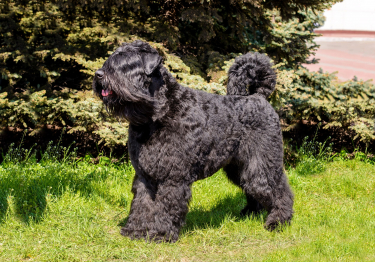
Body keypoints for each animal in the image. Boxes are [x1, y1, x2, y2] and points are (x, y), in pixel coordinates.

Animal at [92, 40, 296, 243]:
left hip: (262, 163)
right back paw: (250, 213)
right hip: (240, 167)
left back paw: (278, 222)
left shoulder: (172, 176)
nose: (98, 74)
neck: (157, 114)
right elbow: (143, 205)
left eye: (128, 63)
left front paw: (161, 233)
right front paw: (136, 231)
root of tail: (258, 96)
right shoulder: (145, 175)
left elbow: (165, 206)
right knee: (253, 188)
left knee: (278, 189)